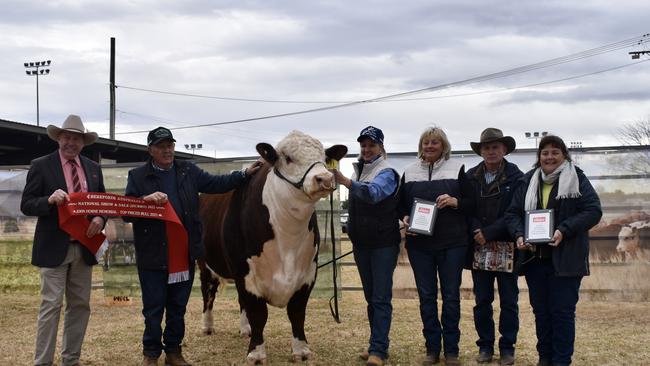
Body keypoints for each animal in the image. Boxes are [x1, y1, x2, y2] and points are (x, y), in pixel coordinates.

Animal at [197, 131, 346, 364]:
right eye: (288, 158)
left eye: (323, 157)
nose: (325, 178)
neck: (287, 239)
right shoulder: (246, 273)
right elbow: (259, 314)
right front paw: (256, 353)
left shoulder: (307, 274)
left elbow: (297, 313)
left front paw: (301, 350)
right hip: (205, 263)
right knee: (208, 293)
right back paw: (207, 326)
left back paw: (244, 329)